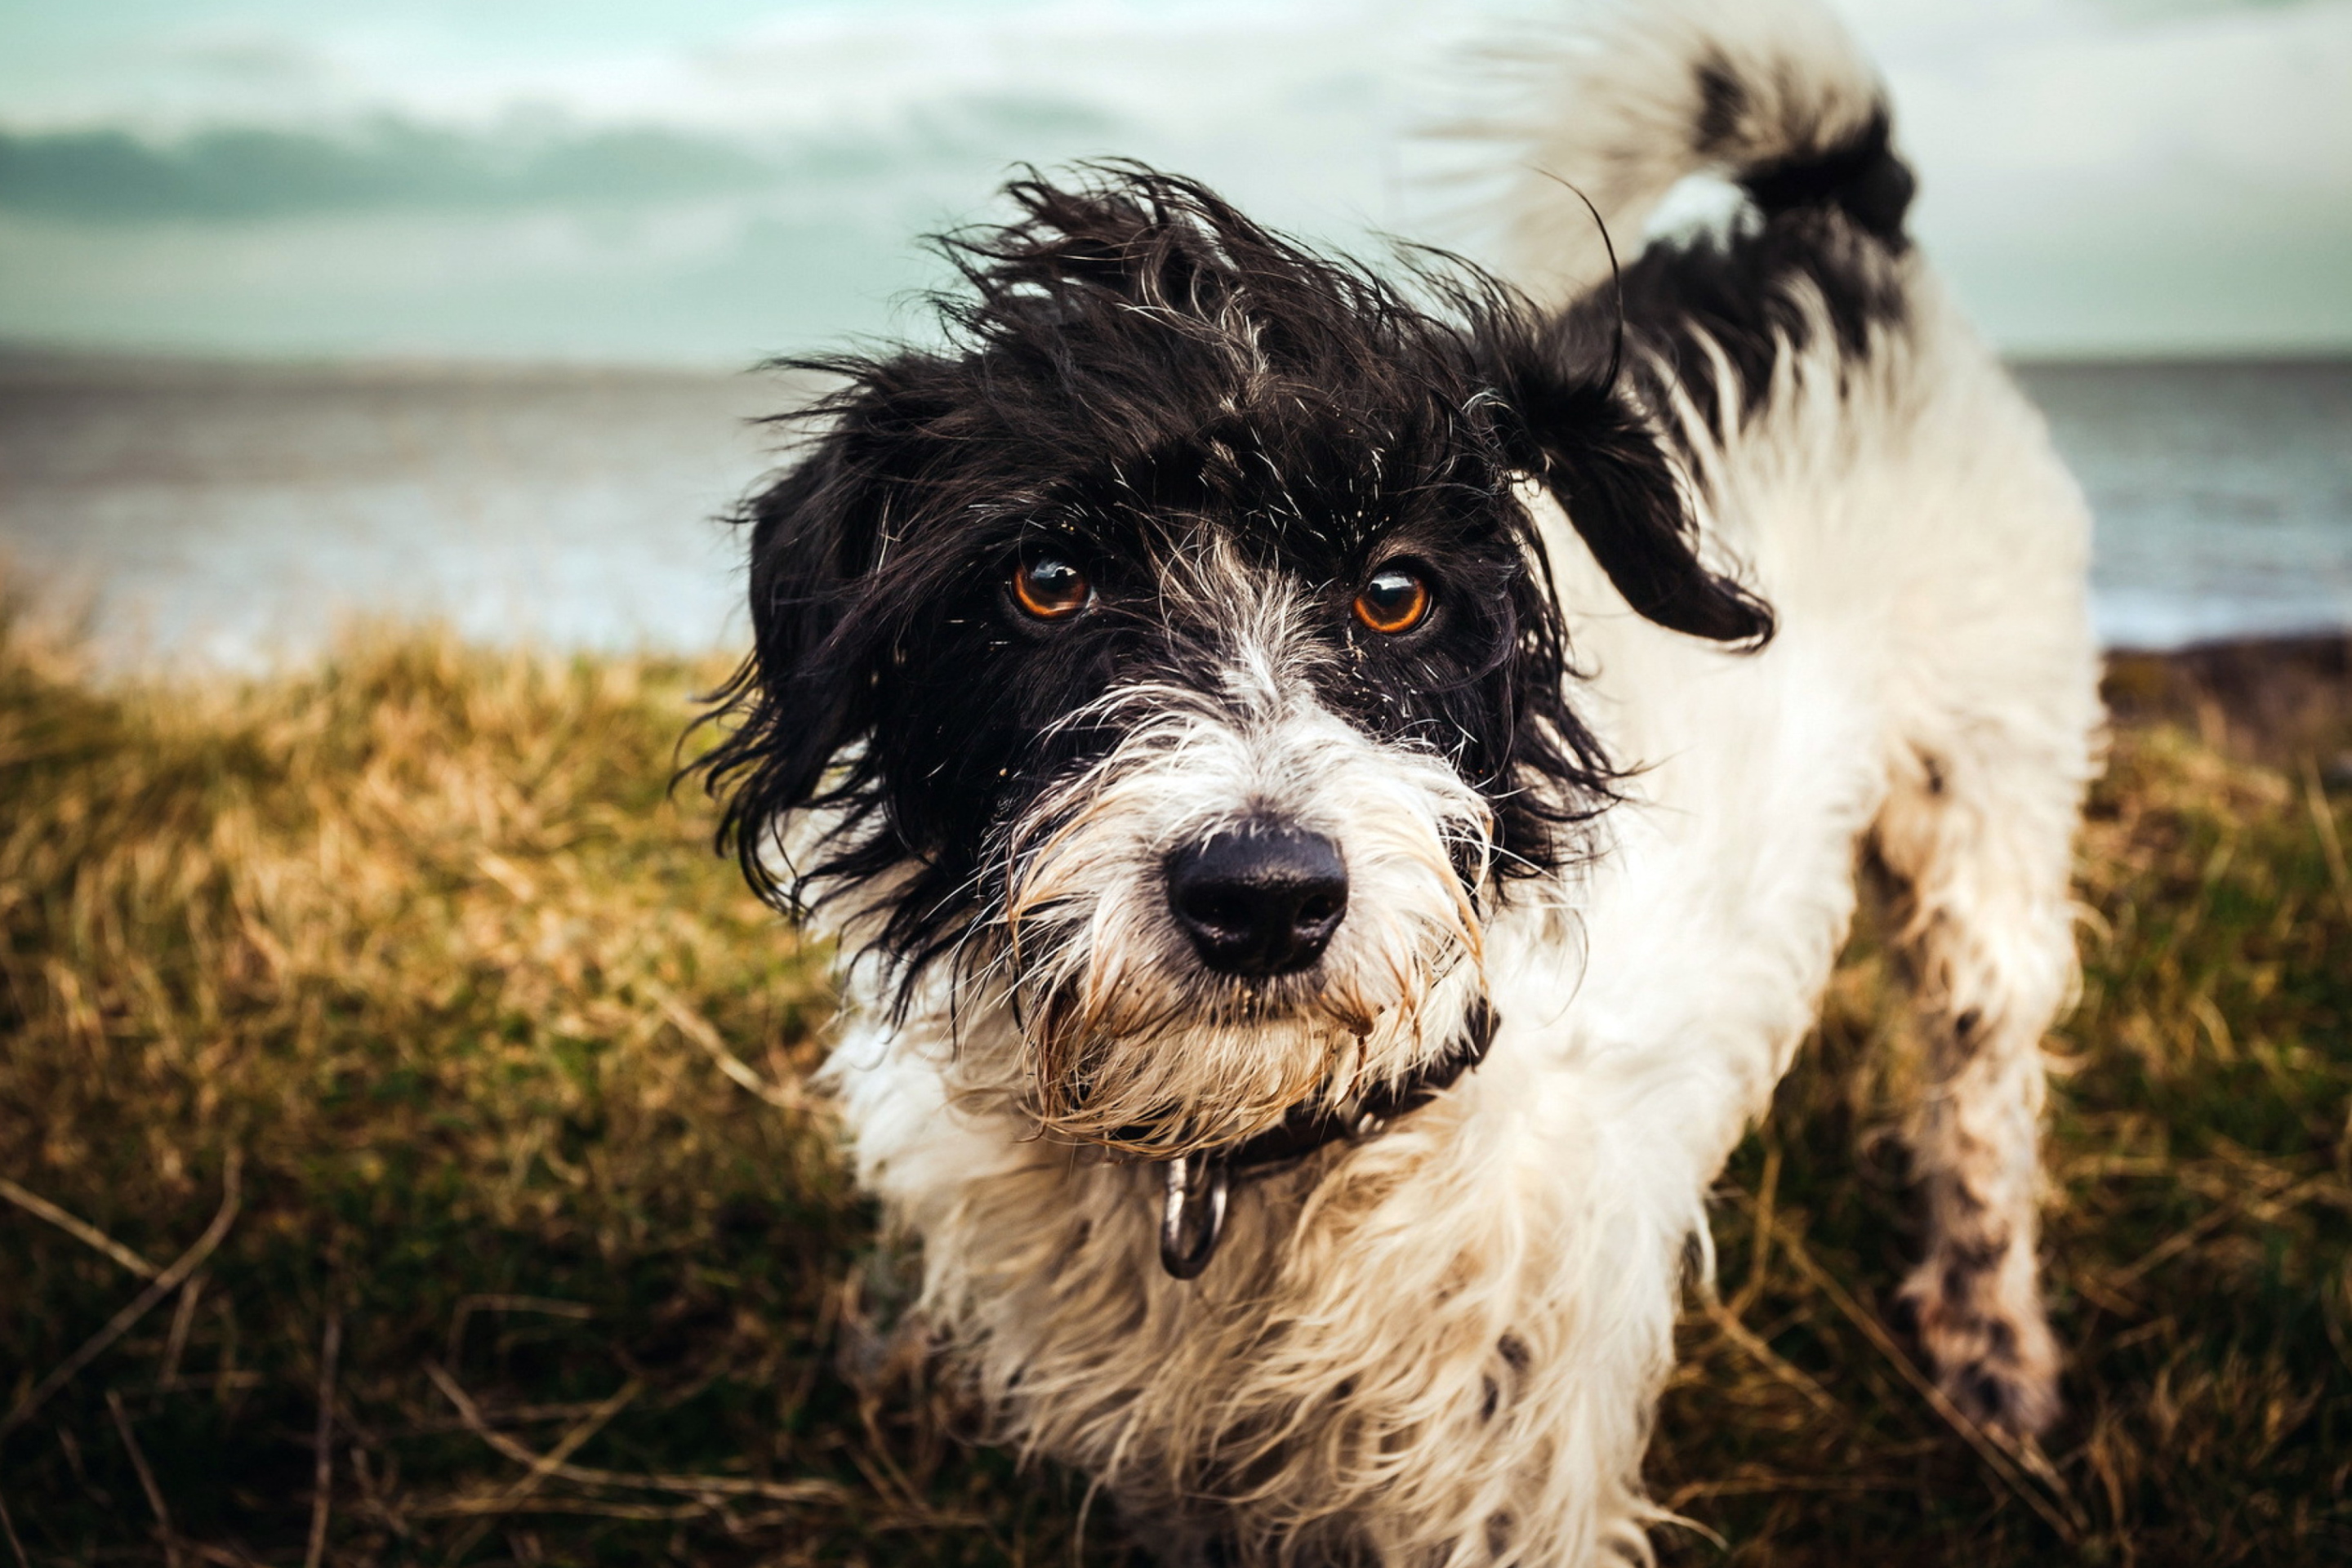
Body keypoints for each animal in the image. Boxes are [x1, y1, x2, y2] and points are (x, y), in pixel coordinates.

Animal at [691, 2, 2097, 1561]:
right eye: (1045, 580)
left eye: (1395, 593)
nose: (1262, 897)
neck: (1241, 1154)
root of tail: (1834, 232)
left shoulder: (1511, 1469)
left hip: (1990, 804)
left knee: (1983, 1083)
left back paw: (1993, 1351)